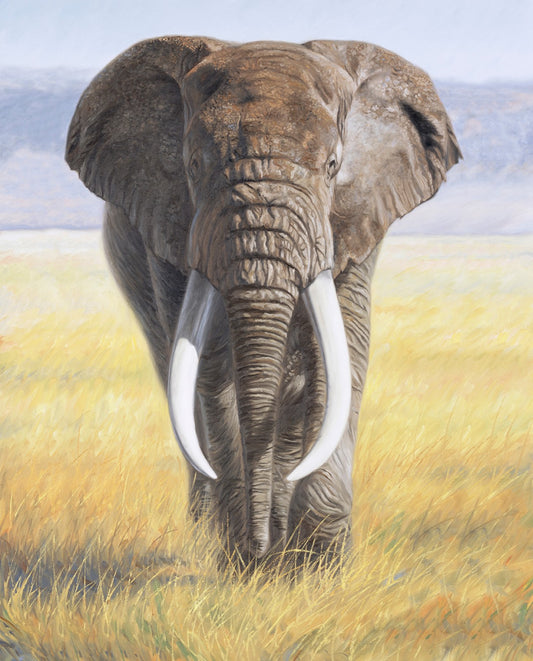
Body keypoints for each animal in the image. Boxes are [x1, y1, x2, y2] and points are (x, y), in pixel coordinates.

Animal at [66, 36, 461, 569]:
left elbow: (341, 356)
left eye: (333, 166)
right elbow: (212, 362)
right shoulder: (172, 230)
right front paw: (244, 562)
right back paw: (212, 534)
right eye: (193, 166)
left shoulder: (355, 221)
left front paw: (317, 568)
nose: (257, 550)